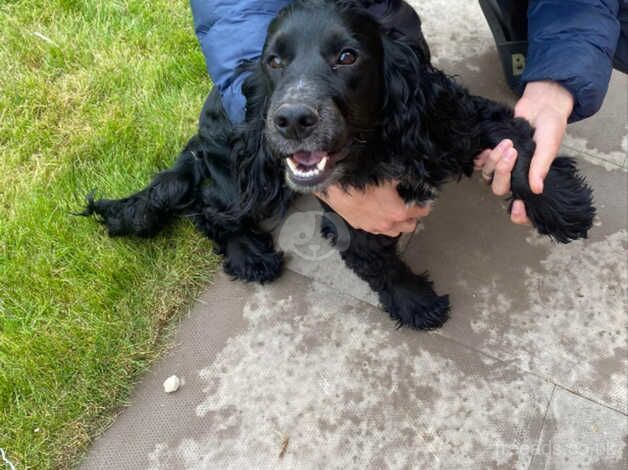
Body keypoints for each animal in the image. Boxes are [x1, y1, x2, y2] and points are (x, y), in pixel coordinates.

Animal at [82, 0, 592, 330]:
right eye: (274, 61)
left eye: (347, 56)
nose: (291, 119)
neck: (374, 145)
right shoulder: (352, 213)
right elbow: (377, 261)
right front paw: (414, 302)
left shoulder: (452, 119)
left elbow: (521, 141)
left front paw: (561, 205)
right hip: (250, 178)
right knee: (208, 210)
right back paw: (249, 254)